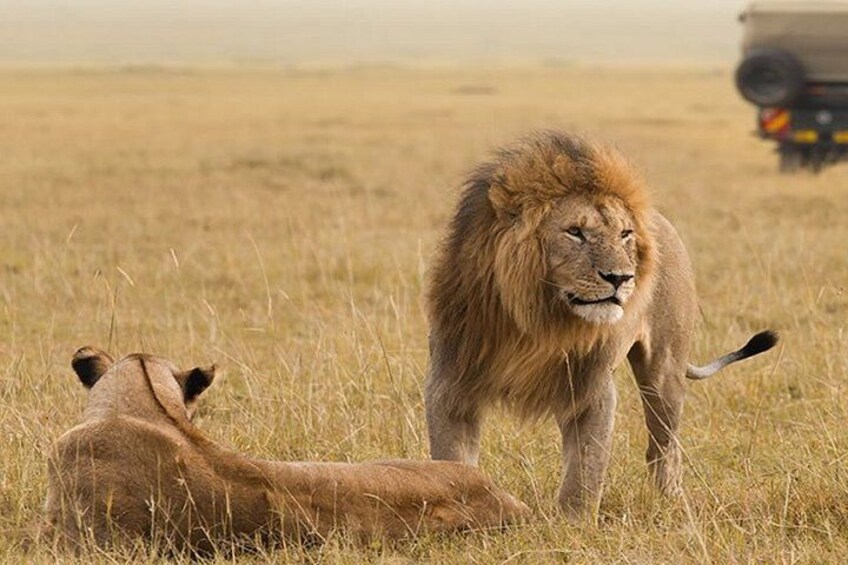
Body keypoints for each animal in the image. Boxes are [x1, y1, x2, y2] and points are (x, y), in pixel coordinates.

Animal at [424, 131, 778, 518]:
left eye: (624, 234)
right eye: (575, 232)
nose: (621, 278)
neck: (537, 321)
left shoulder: (591, 388)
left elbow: (585, 469)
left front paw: (572, 524)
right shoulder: (451, 383)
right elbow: (452, 461)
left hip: (664, 371)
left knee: (663, 447)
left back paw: (671, 503)